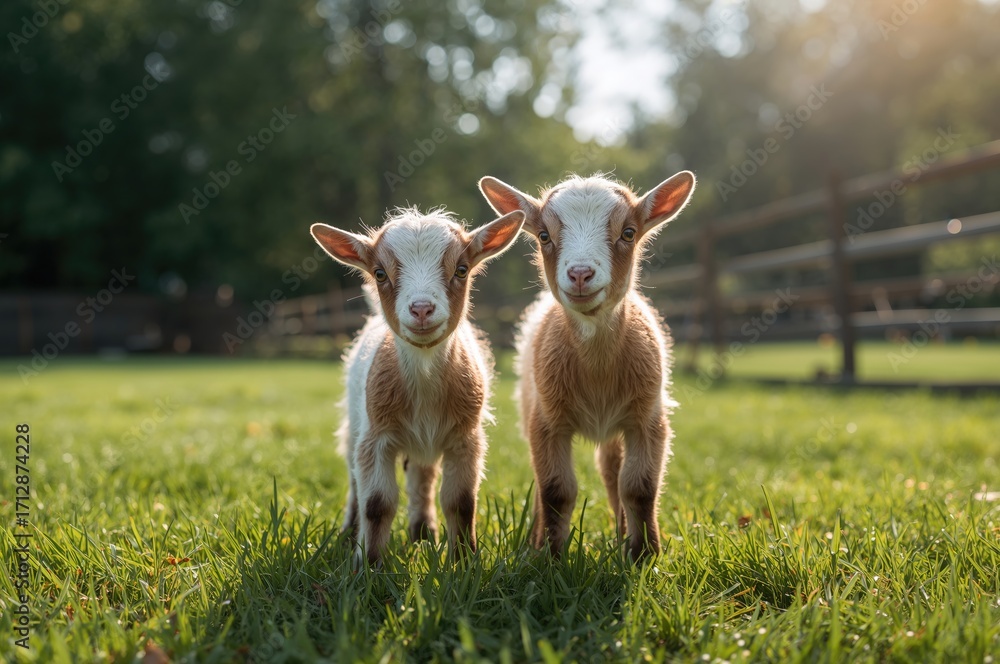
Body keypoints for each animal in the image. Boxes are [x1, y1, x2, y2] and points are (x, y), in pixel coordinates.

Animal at [309, 207, 525, 565]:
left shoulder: (465, 438)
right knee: (354, 478)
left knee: (422, 478)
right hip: (355, 423)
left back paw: (423, 534)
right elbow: (376, 503)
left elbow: (461, 501)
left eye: (462, 269)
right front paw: (368, 566)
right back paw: (349, 532)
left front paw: (464, 561)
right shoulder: (376, 436)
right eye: (380, 273)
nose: (421, 309)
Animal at [478, 171, 696, 561]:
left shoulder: (647, 420)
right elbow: (555, 489)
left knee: (611, 473)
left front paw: (645, 555)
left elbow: (639, 487)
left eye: (628, 232)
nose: (580, 274)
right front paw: (550, 557)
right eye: (544, 236)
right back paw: (536, 539)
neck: (597, 369)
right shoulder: (547, 422)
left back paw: (622, 534)